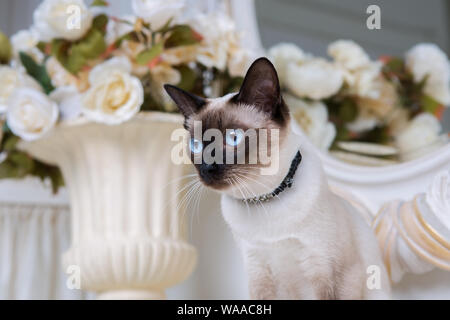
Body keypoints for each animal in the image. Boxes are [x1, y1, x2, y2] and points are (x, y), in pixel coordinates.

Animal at [164, 57, 390, 300]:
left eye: (233, 138)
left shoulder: (327, 270)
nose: (207, 168)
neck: (263, 198)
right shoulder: (259, 272)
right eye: (195, 145)